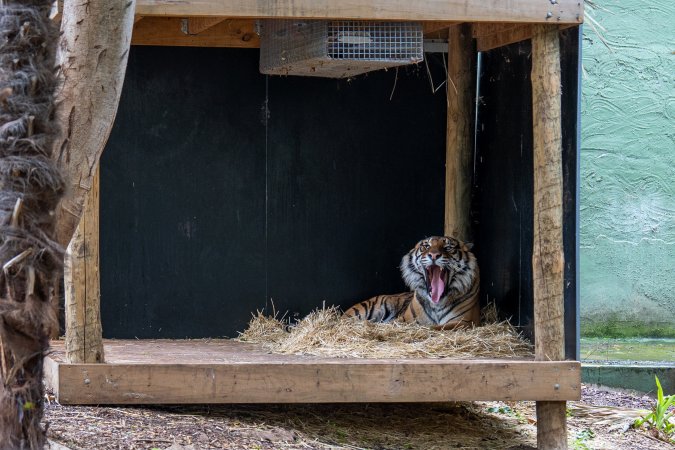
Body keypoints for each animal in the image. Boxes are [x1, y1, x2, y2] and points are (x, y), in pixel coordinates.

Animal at [344, 236, 480, 329]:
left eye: (448, 248)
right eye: (426, 246)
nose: (434, 255)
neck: (436, 303)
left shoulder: (464, 322)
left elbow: (436, 328)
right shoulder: (405, 319)